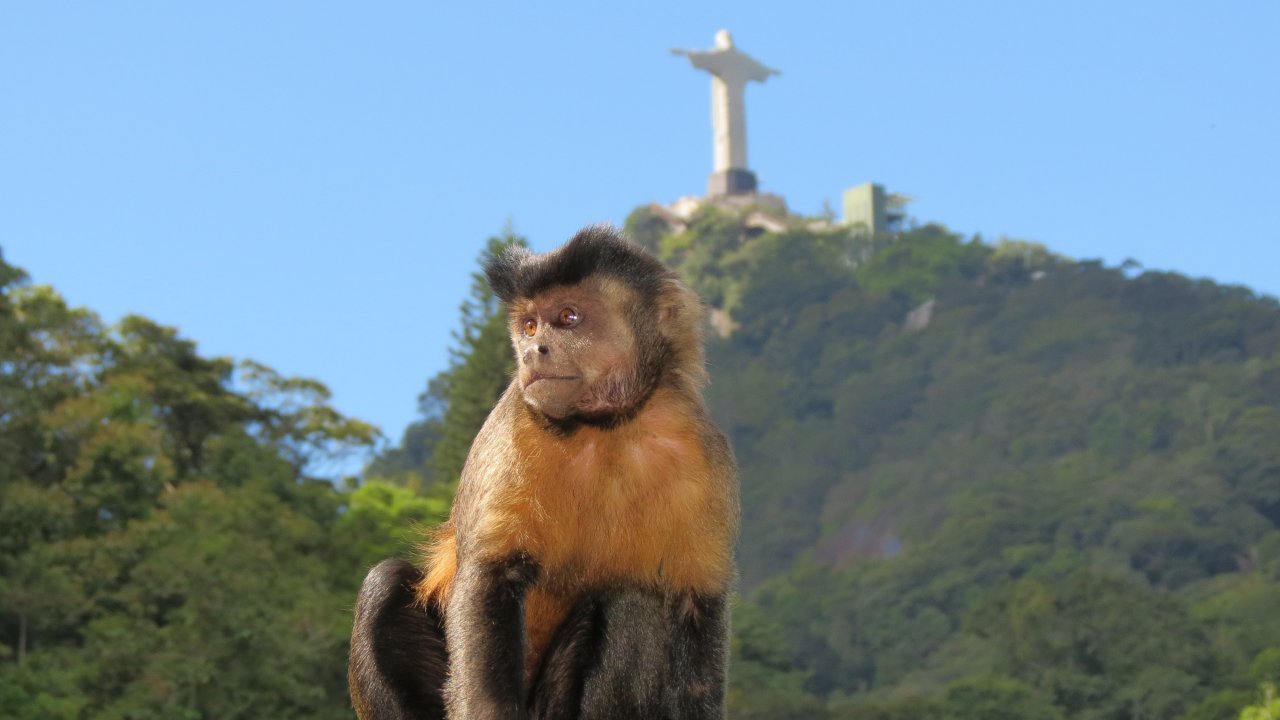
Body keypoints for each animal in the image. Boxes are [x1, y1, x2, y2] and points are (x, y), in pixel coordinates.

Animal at [348, 225, 739, 720]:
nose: (535, 351)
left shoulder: (705, 454)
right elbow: (490, 577)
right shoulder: (517, 420)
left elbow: (696, 606)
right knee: (385, 585)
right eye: (531, 326)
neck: (605, 427)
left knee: (634, 601)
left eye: (568, 317)